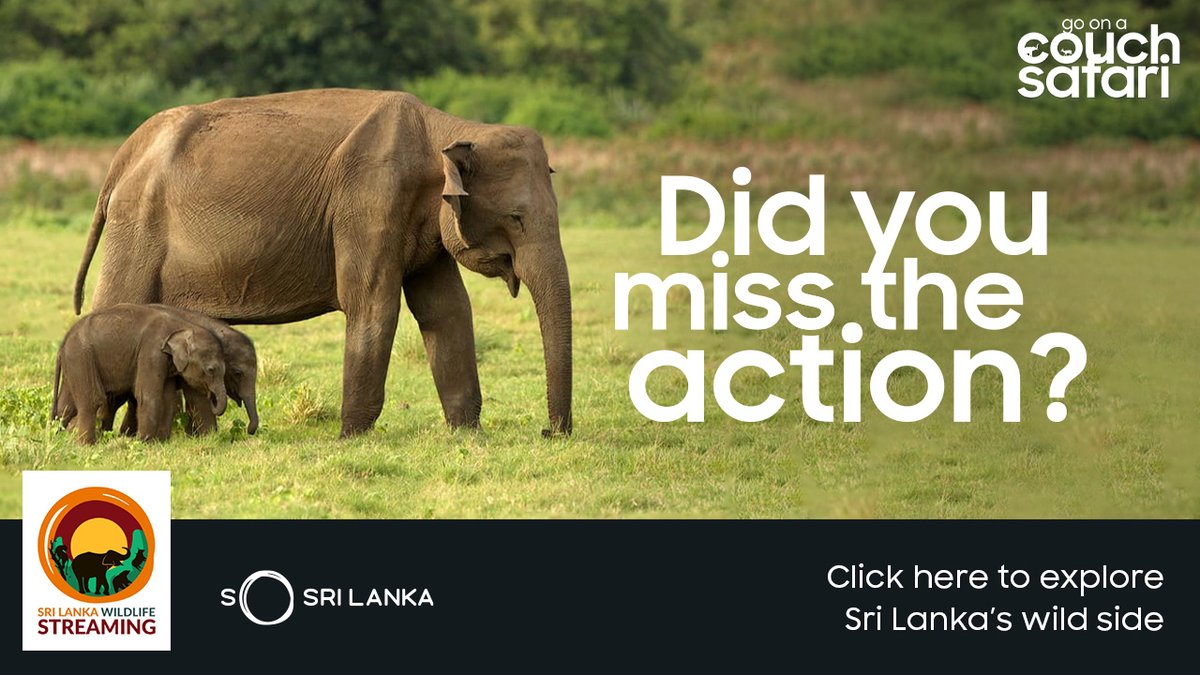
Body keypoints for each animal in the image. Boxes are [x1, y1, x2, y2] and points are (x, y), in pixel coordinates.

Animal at [52, 303, 228, 444]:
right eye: (210, 370)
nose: (212, 397)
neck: (182, 326)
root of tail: (63, 344)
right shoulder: (151, 352)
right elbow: (148, 396)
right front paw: (144, 443)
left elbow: (174, 399)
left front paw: (161, 442)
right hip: (81, 356)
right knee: (92, 400)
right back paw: (87, 445)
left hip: (75, 363)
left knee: (65, 405)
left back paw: (57, 438)